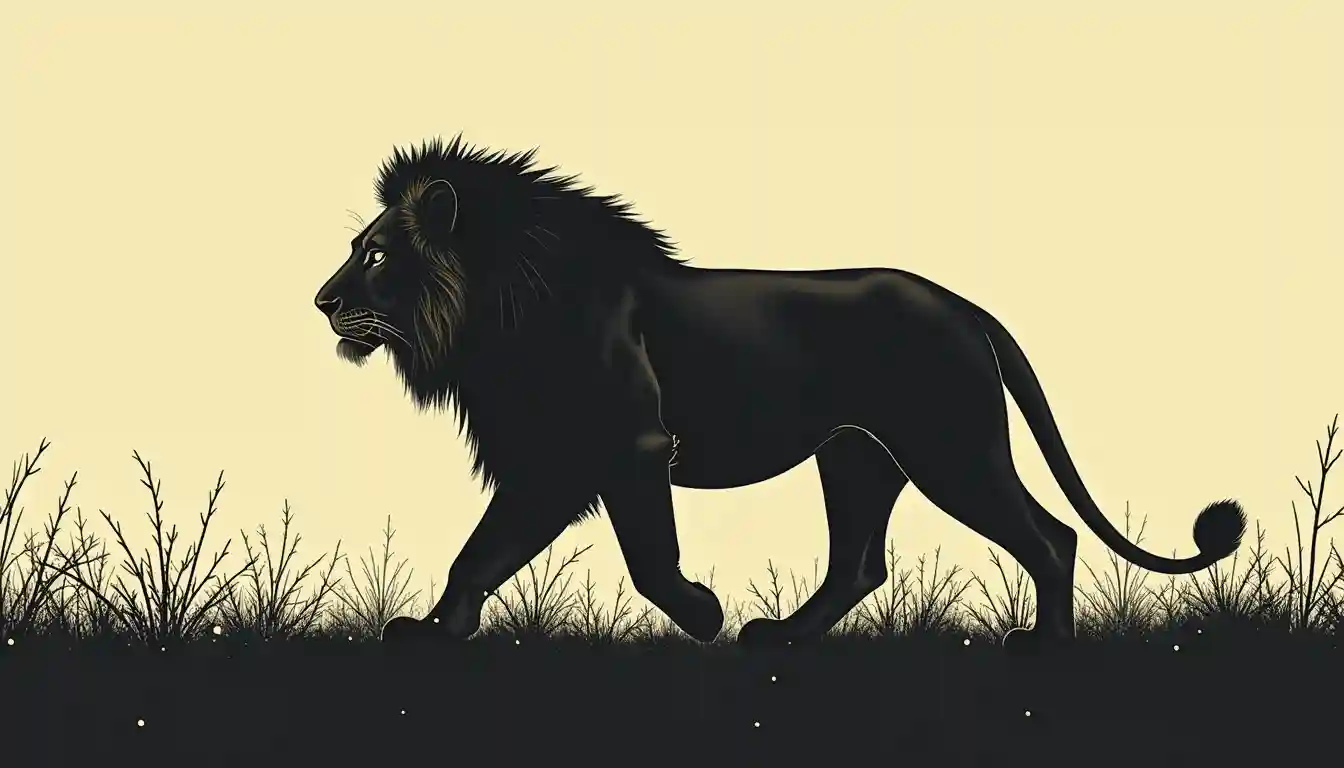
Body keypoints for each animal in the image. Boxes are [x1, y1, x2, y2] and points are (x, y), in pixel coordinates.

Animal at [314, 135, 1246, 650]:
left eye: (377, 255)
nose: (321, 302)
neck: (491, 315)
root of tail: (963, 306)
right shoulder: (550, 459)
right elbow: (479, 553)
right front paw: (431, 633)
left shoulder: (627, 448)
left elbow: (648, 558)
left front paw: (702, 615)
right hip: (857, 457)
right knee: (860, 564)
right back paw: (783, 640)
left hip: (950, 450)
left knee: (1050, 537)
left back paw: (1044, 646)